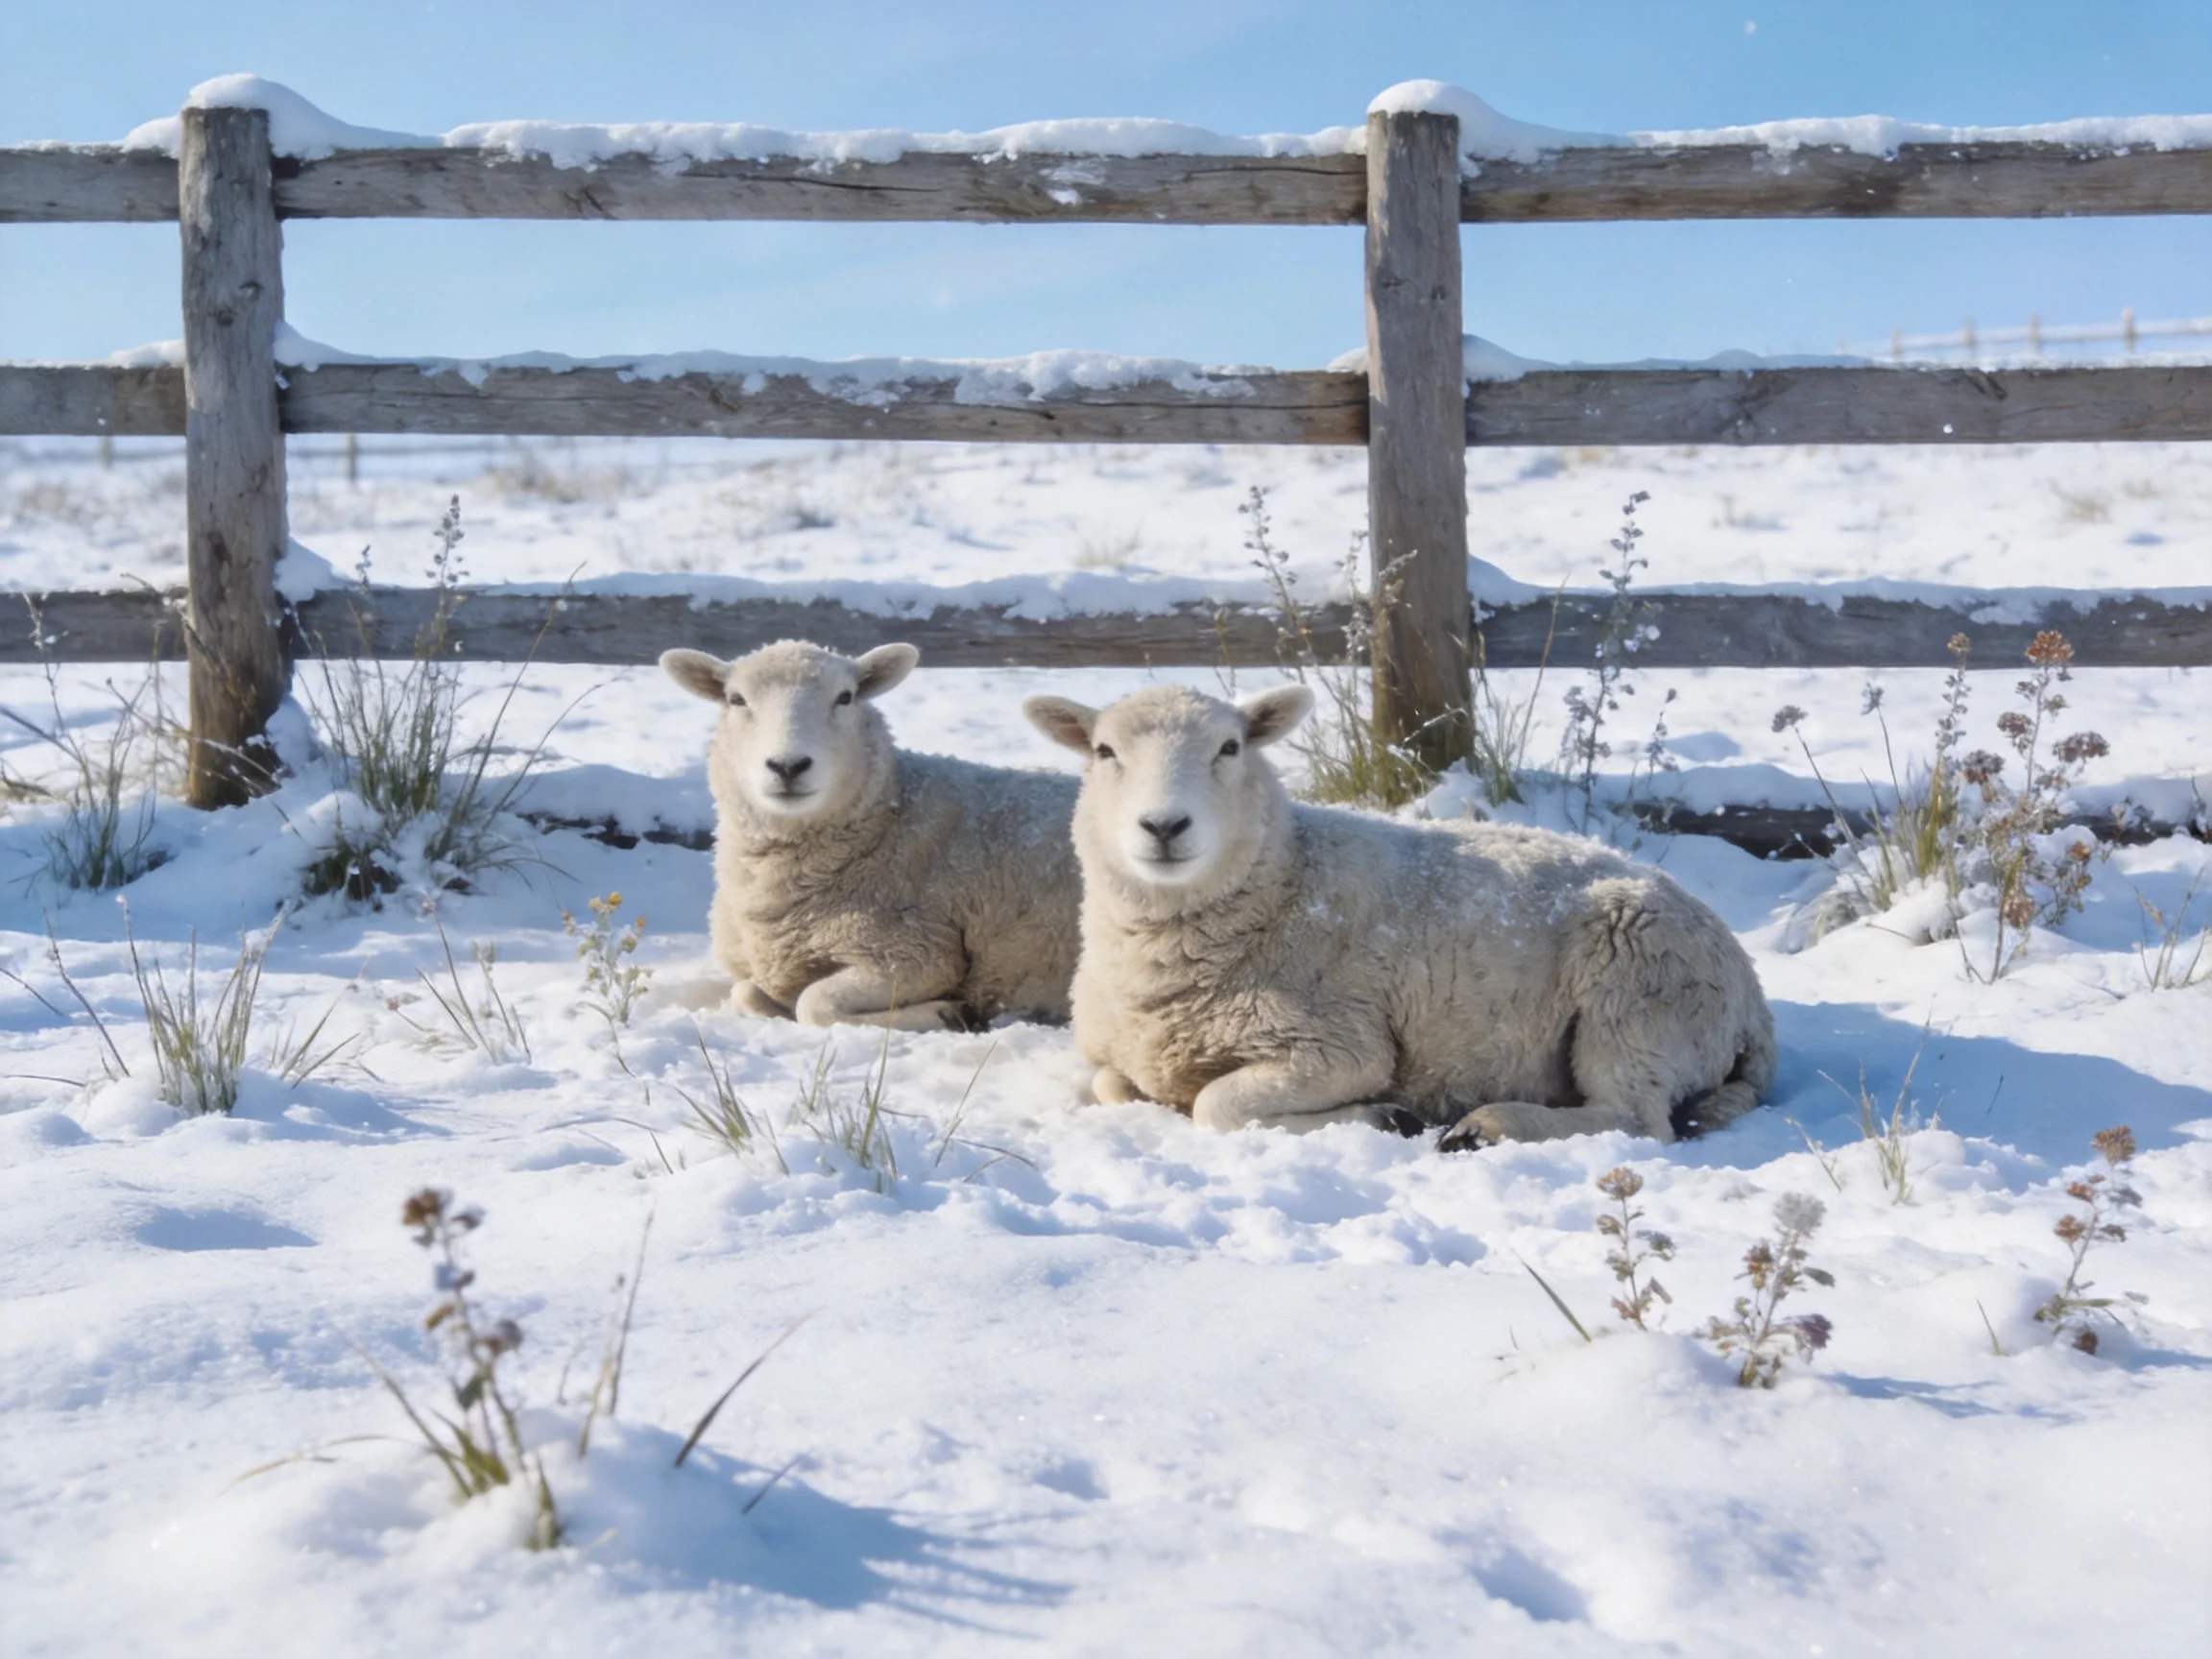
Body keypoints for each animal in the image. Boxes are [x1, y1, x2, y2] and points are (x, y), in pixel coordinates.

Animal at [662, 639, 1081, 1030]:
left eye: (845, 697)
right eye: (736, 699)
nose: (788, 766)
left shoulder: (916, 952)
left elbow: (814, 1004)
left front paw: (948, 1013)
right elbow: (745, 992)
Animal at [1023, 682, 1776, 1145]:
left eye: (1229, 748)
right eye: (1104, 751)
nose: (1164, 825)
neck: (1282, 880)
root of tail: (1752, 995)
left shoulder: (1340, 1046)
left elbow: (1216, 1105)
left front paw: (1385, 1118)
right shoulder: (1119, 1056)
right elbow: (1113, 1085)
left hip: (1636, 1002)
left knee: (1634, 1118)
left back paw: (1487, 1127)